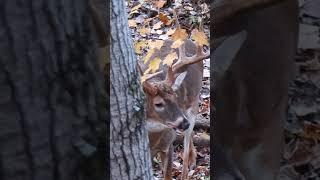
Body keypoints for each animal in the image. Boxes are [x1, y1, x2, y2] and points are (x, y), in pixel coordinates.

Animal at [138, 36, 210, 179]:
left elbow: (168, 175)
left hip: (194, 103)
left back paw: (190, 163)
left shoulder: (169, 145)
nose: (184, 123)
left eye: (175, 97)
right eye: (158, 104)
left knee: (186, 149)